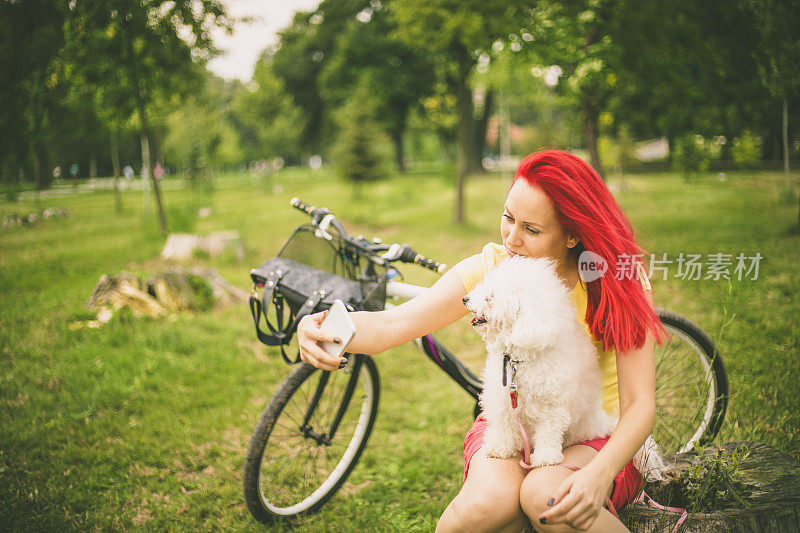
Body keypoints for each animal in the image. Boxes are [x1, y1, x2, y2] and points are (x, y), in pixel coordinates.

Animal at [462, 256, 620, 468]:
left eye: (491, 296)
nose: (465, 299)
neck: (520, 361)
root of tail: (600, 422)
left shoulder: (553, 406)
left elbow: (549, 432)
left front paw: (546, 457)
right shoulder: (503, 400)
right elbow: (503, 425)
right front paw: (499, 447)